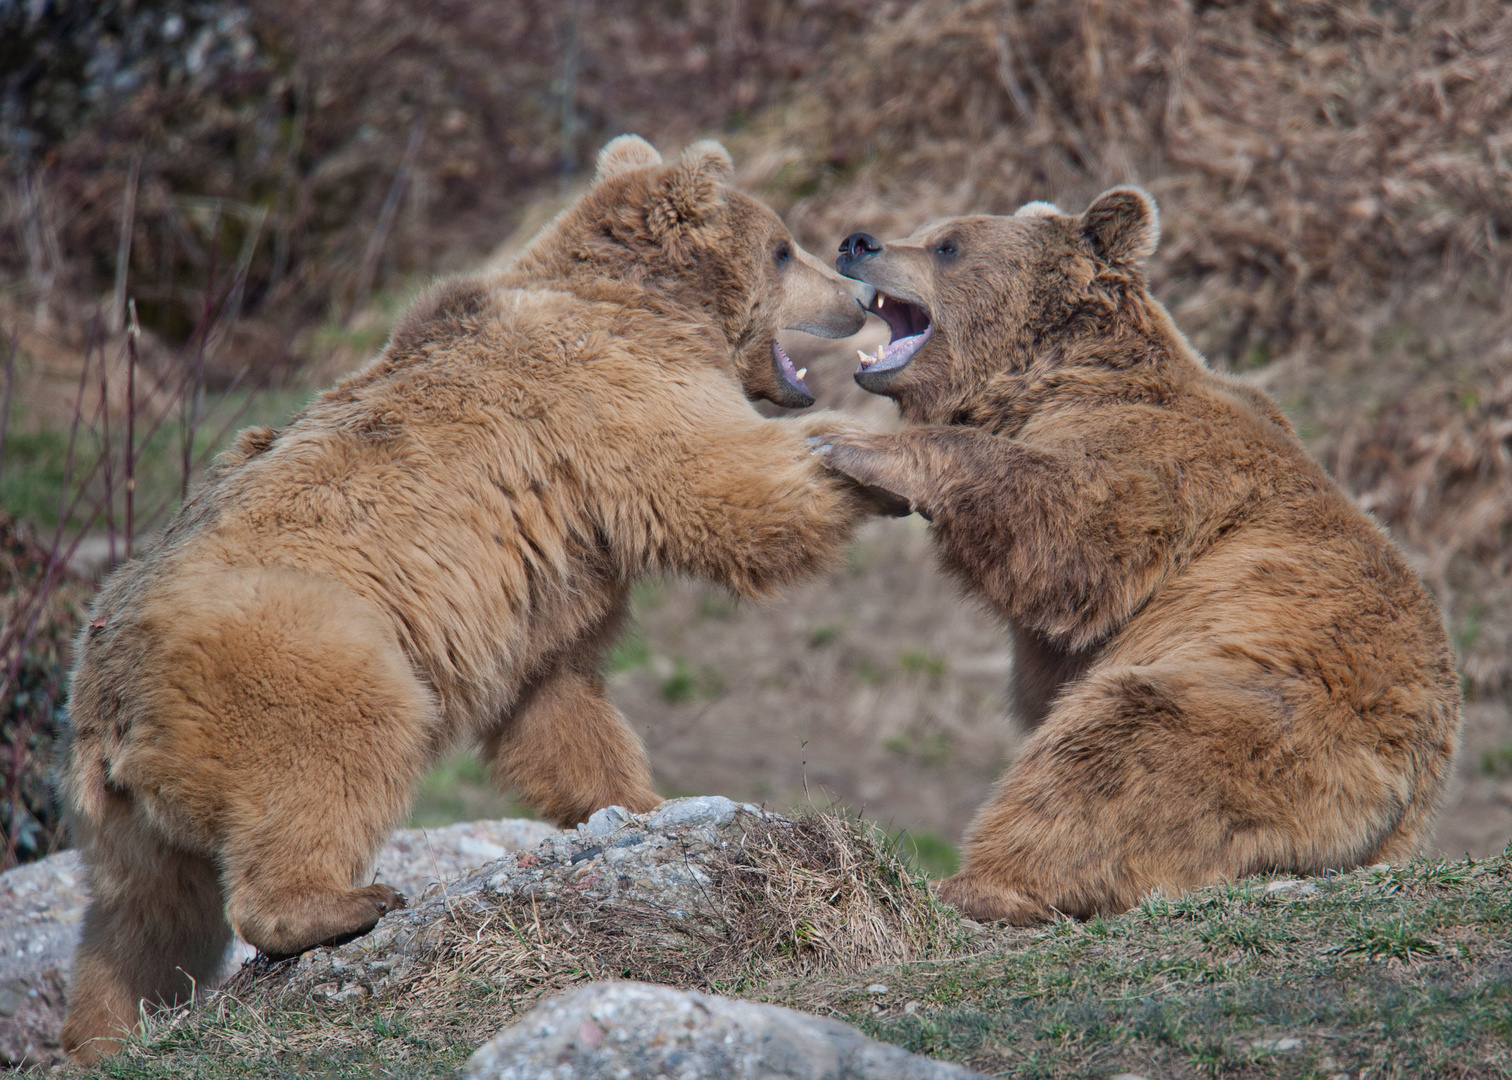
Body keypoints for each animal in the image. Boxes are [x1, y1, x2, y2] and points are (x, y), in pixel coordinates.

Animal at [61, 136, 883, 1058]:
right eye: (783, 247)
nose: (859, 294)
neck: (656, 308)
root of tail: (112, 705)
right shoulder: (608, 389)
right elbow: (723, 482)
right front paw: (877, 453)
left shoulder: (547, 590)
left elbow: (558, 705)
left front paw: (643, 805)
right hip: (295, 646)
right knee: (331, 757)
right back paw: (344, 904)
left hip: (119, 822)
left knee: (142, 925)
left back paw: (106, 1034)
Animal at [816, 189, 1463, 919]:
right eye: (927, 231)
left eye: (948, 245)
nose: (857, 242)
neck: (1041, 380)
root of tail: (1398, 804)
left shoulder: (1158, 458)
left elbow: (1075, 532)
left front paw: (852, 445)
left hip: (1270, 721)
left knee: (1111, 753)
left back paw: (979, 883)